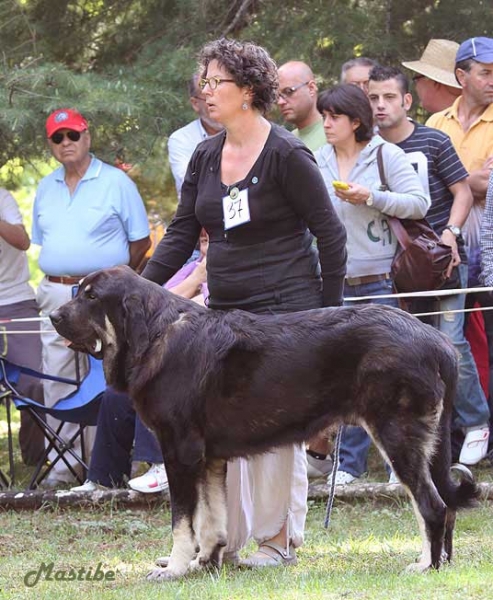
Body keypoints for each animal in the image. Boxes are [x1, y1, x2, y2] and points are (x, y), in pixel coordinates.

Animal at [52, 264, 478, 580]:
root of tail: (437, 341)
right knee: (445, 507)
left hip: (396, 434)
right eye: (80, 291)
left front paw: (174, 568)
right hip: (426, 445)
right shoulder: (208, 458)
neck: (156, 335)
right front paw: (204, 563)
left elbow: (183, 521)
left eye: (91, 297)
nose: (53, 316)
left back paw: (425, 566)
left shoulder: (180, 451)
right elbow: (212, 520)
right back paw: (442, 564)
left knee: (432, 506)